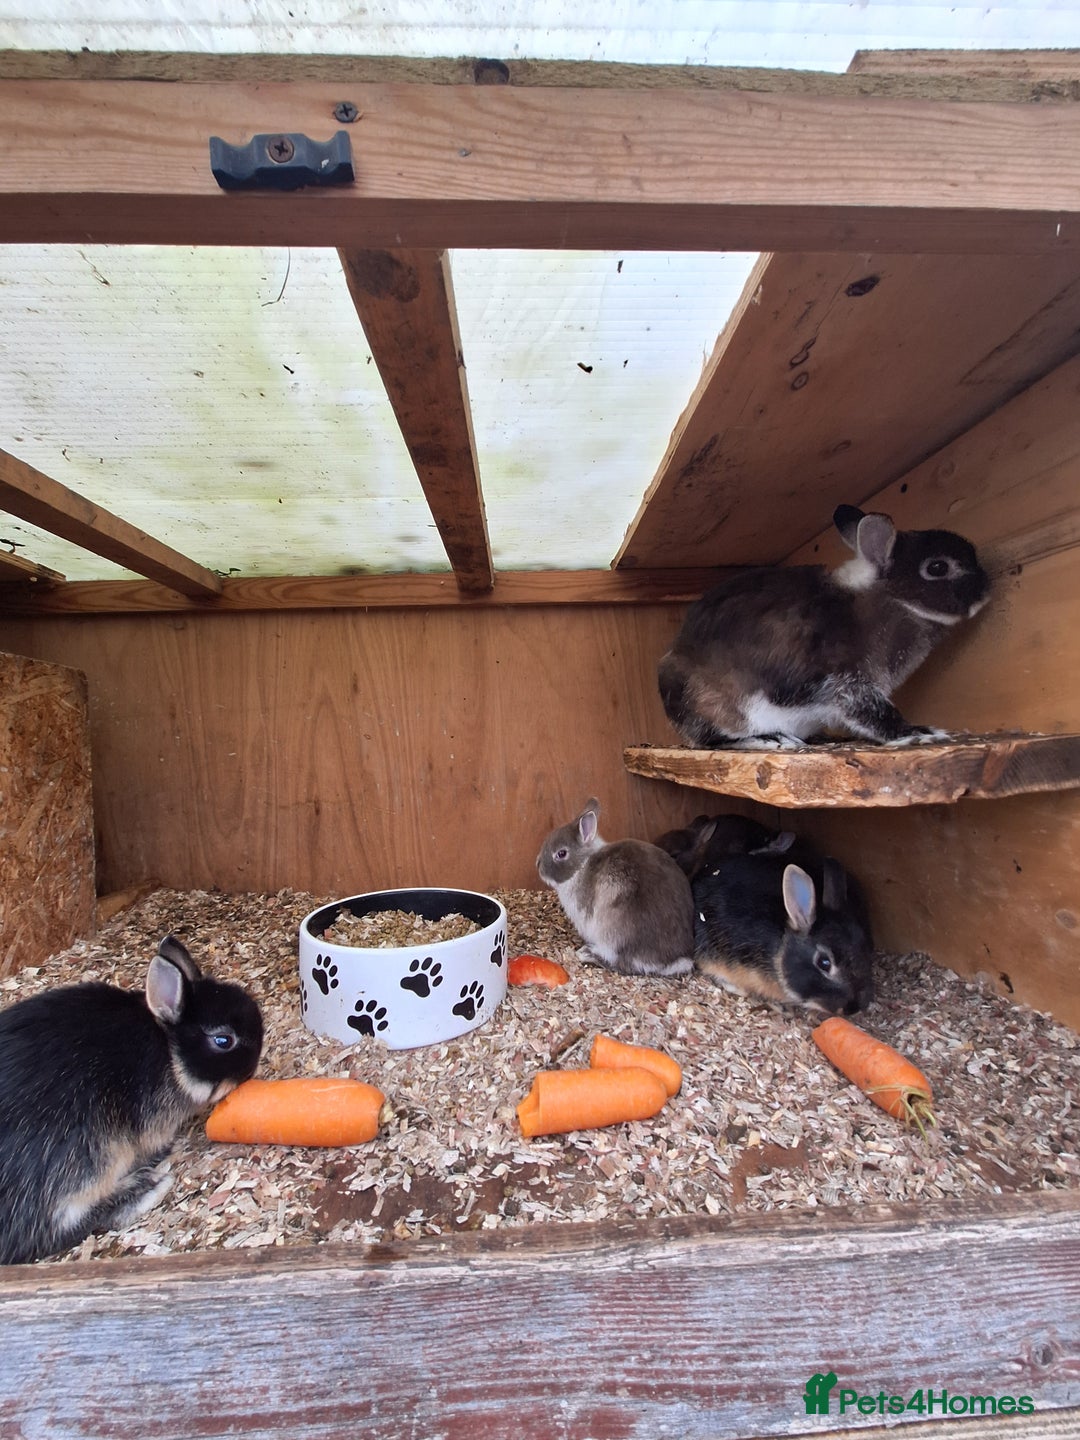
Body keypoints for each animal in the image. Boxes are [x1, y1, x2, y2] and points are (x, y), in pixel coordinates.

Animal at [0, 935, 263, 1265]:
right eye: (223, 1040)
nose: (254, 1066)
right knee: (59, 1228)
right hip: (89, 1159)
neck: (168, 1049)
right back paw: (148, 1186)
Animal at [536, 797, 696, 977]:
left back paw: (586, 954)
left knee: (621, 963)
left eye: (561, 853)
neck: (582, 865)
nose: (538, 866)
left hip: (612, 936)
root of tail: (674, 960)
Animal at [658, 503, 990, 749]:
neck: (889, 601)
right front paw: (919, 733)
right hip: (716, 708)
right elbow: (871, 710)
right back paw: (770, 738)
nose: (986, 588)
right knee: (713, 740)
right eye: (937, 567)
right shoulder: (843, 681)